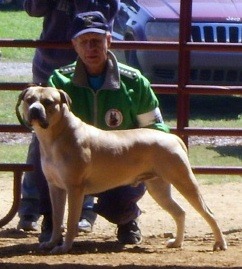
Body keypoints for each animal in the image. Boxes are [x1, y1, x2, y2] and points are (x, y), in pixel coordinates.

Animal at [17, 86, 227, 253]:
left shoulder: (74, 189)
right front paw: (52, 242)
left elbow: (70, 221)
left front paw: (65, 247)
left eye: (48, 102)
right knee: (180, 212)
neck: (55, 136)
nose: (35, 110)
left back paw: (219, 243)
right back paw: (177, 242)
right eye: (29, 100)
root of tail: (172, 138)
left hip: (184, 181)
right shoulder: (56, 188)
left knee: (209, 213)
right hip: (159, 189)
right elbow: (57, 217)